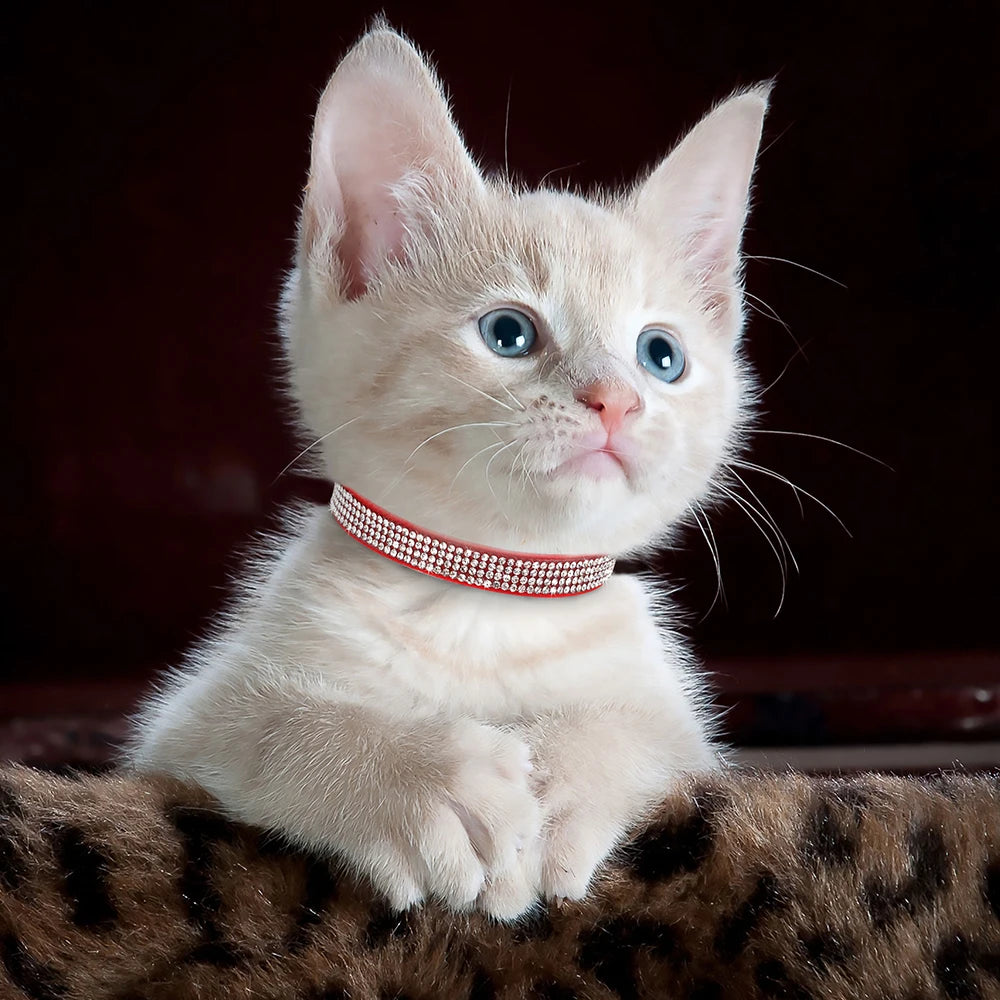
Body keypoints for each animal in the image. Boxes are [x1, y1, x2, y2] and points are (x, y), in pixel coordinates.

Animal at [125, 25, 764, 920]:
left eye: (660, 355)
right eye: (508, 333)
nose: (617, 400)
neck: (490, 590)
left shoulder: (686, 737)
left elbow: (638, 731)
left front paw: (563, 780)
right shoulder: (180, 730)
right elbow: (273, 726)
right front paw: (419, 781)